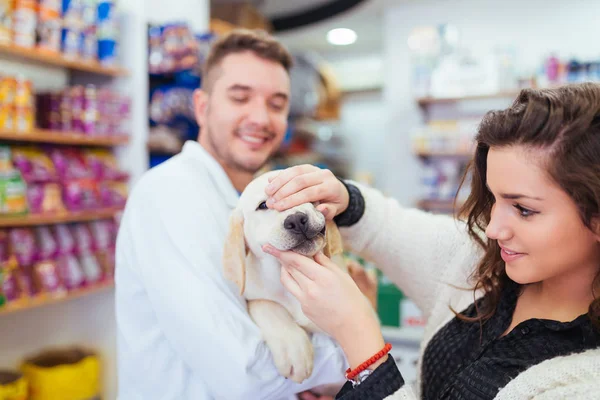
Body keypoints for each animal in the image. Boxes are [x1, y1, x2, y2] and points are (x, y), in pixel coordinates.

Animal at [223, 170, 344, 382]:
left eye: (302, 193)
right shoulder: (254, 296)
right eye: (263, 205)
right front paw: (294, 349)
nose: (296, 220)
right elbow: (266, 306)